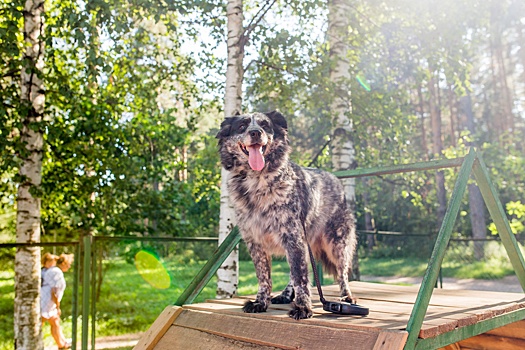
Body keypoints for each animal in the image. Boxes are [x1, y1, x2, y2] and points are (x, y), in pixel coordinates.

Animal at [216, 110, 356, 318]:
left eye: (265, 125)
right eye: (242, 126)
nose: (255, 133)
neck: (257, 182)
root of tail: (336, 180)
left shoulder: (293, 236)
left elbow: (301, 277)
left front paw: (303, 307)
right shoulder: (256, 242)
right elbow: (264, 278)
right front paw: (260, 302)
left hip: (337, 243)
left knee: (342, 273)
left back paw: (346, 297)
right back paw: (285, 294)